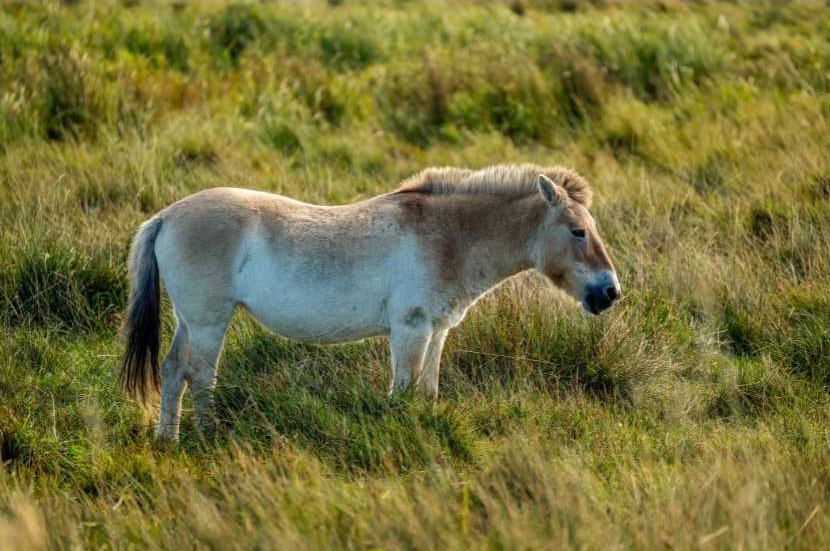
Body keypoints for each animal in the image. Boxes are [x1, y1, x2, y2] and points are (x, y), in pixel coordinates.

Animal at [120, 164, 621, 440]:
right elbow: (402, 391)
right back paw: (206, 437)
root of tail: (167, 216)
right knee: (200, 376)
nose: (610, 292)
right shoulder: (411, 330)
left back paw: (168, 439)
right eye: (578, 231)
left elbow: (427, 390)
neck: (449, 237)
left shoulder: (437, 330)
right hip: (210, 321)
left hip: (190, 320)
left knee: (173, 371)